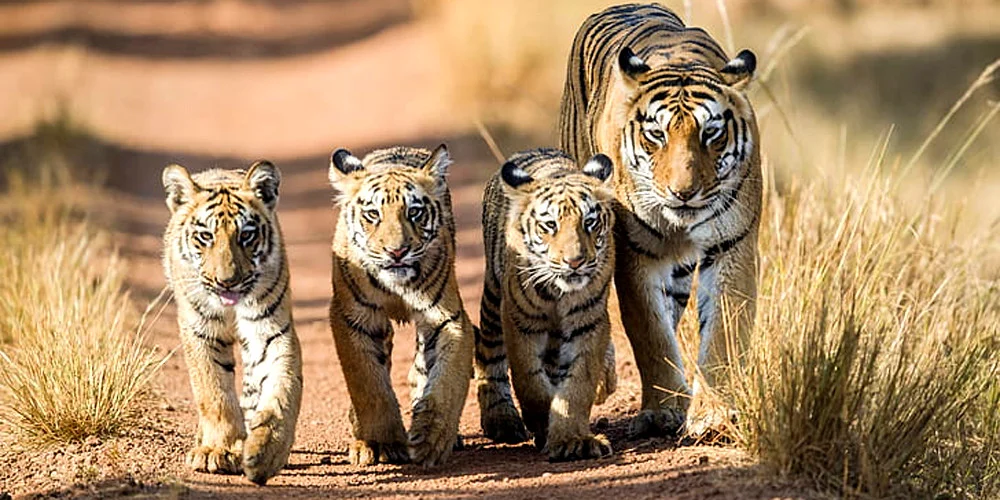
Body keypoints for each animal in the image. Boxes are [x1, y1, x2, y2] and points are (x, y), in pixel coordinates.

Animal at [161, 162, 302, 485]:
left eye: (246, 236)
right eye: (205, 236)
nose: (227, 281)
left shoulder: (270, 331)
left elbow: (283, 388)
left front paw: (267, 451)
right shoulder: (201, 332)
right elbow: (214, 392)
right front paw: (220, 450)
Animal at [327, 144, 475, 468]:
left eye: (414, 212)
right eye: (373, 214)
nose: (397, 252)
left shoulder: (446, 319)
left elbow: (446, 379)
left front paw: (432, 439)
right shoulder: (353, 319)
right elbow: (369, 384)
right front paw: (379, 442)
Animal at [474, 148, 617, 461]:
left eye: (589, 222)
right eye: (550, 225)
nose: (575, 262)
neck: (558, 293)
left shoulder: (589, 322)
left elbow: (577, 384)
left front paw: (571, 439)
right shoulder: (520, 321)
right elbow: (530, 382)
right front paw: (543, 425)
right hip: (492, 298)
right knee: (489, 354)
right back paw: (501, 420)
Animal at [558, 3, 762, 437]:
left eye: (711, 134)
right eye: (657, 135)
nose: (683, 192)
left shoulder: (732, 245)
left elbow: (723, 329)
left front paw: (713, 413)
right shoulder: (636, 252)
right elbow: (649, 333)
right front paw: (664, 409)